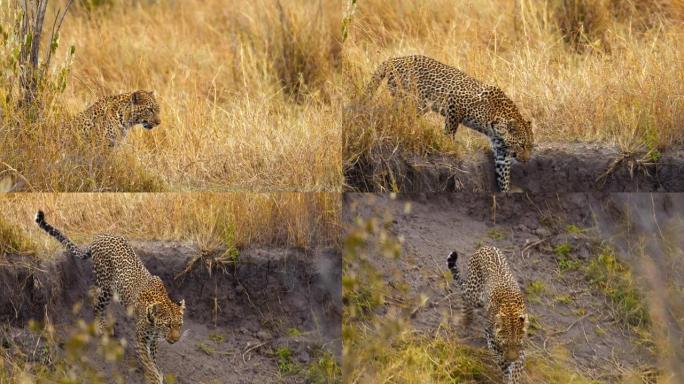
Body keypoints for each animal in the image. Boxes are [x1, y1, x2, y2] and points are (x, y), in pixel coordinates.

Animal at [34, 212, 184, 382]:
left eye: (179, 325)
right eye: (168, 325)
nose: (175, 339)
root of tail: (99, 235)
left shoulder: (152, 339)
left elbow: (153, 359)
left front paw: (158, 371)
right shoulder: (141, 340)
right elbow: (148, 364)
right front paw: (155, 377)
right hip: (105, 285)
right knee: (95, 302)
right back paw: (100, 326)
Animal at [368, 55, 536, 194]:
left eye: (530, 146)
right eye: (521, 145)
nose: (526, 160)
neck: (498, 119)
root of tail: (394, 59)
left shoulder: (501, 148)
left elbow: (504, 172)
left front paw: (505, 192)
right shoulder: (455, 103)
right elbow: (450, 130)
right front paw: (449, 145)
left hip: (417, 105)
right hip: (408, 99)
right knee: (392, 115)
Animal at [448, 248, 528, 382]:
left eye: (518, 344)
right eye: (505, 344)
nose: (511, 359)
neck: (511, 312)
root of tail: (484, 247)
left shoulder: (521, 349)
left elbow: (517, 367)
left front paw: (513, 376)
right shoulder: (491, 337)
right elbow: (502, 361)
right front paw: (506, 372)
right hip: (474, 294)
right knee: (464, 293)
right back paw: (466, 318)